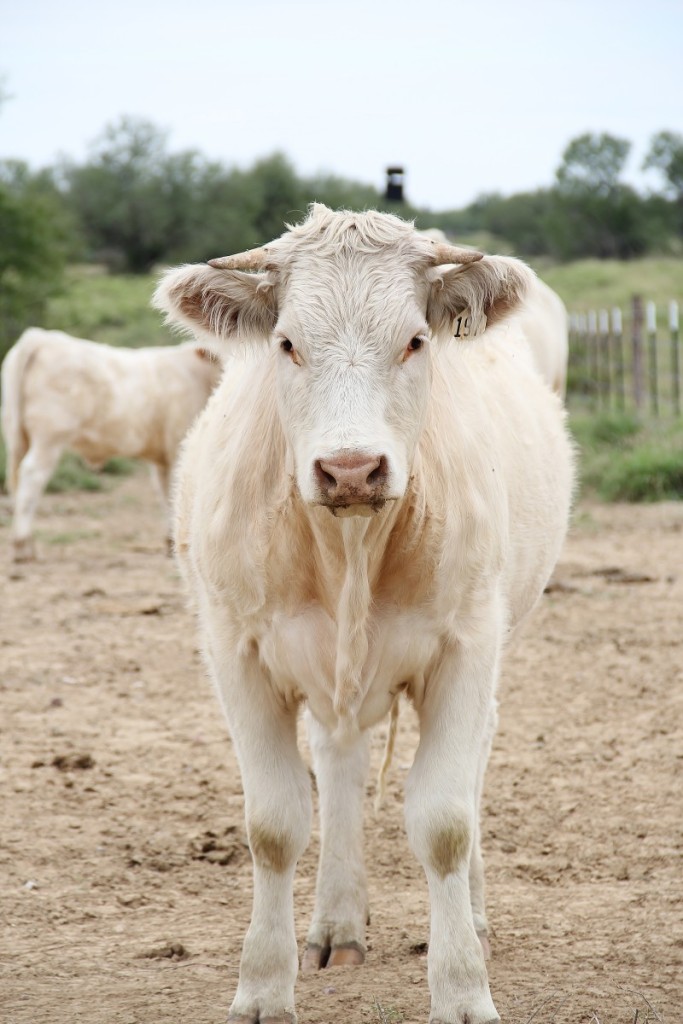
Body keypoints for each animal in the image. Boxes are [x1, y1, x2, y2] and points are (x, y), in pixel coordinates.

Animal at [0, 329, 222, 561]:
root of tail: (39, 337)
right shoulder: (177, 447)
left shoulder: (162, 458)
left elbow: (165, 493)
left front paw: (170, 542)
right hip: (50, 437)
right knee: (32, 477)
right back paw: (22, 546)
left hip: (17, 436)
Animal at [156, 205, 577, 1024]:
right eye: (287, 343)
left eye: (414, 340)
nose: (350, 468)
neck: (348, 547)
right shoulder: (237, 652)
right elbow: (273, 825)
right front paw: (262, 986)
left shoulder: (466, 647)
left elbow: (444, 823)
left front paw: (462, 988)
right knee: (339, 761)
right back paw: (336, 924)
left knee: (468, 768)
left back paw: (473, 918)